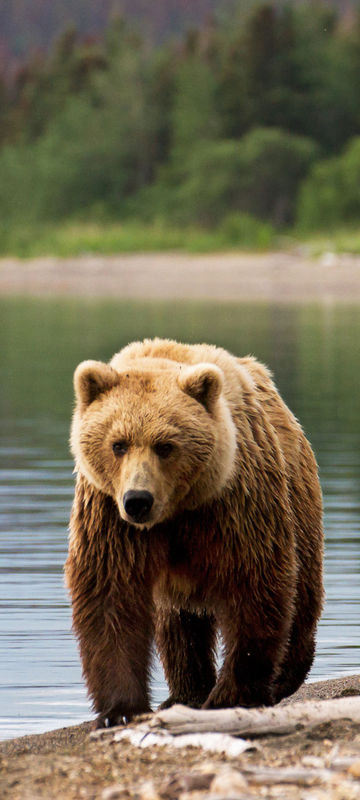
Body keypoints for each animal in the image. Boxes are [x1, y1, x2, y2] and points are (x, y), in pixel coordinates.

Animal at [64, 334, 324, 728]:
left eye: (165, 445)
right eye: (118, 444)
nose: (138, 500)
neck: (176, 510)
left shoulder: (232, 505)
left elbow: (254, 584)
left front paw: (233, 694)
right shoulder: (110, 516)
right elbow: (110, 595)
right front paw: (120, 709)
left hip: (298, 498)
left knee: (302, 592)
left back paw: (285, 675)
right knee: (177, 625)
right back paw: (184, 692)